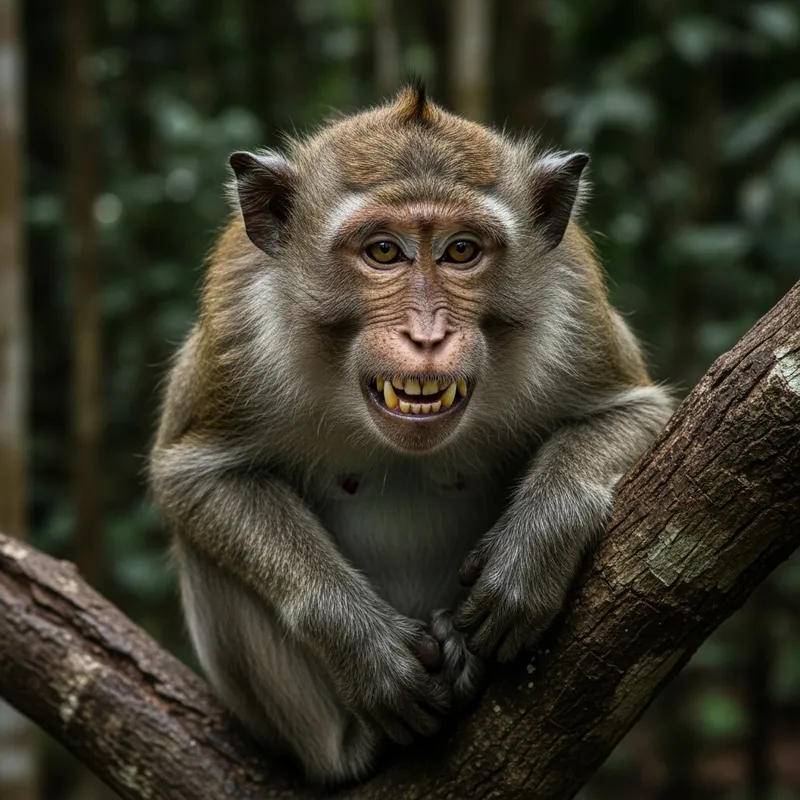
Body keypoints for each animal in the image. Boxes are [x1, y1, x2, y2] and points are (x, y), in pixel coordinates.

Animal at [148, 83, 674, 785]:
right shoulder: (239, 330)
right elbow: (197, 474)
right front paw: (367, 651)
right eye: (383, 251)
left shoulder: (573, 308)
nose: (427, 335)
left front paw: (529, 553)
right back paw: (359, 748)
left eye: (461, 250)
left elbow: (631, 412)